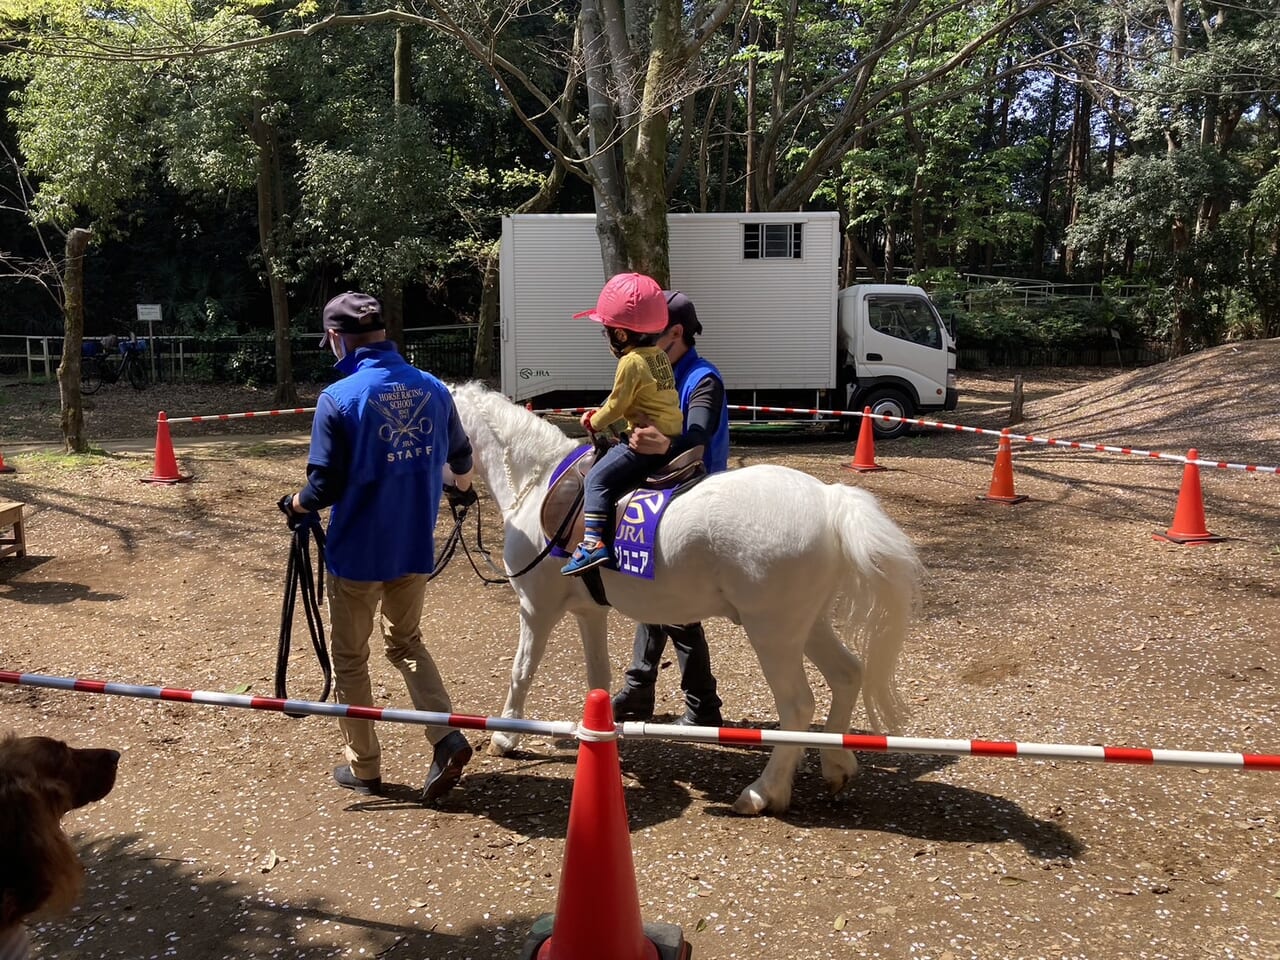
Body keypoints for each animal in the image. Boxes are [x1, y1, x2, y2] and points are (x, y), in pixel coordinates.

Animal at [450, 384, 921, 819]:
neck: (537, 479)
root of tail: (829, 500)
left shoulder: (536, 609)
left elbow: (522, 671)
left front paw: (506, 735)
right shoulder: (589, 612)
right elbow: (598, 675)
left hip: (773, 633)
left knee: (797, 705)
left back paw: (762, 793)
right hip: (808, 625)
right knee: (847, 676)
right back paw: (836, 765)